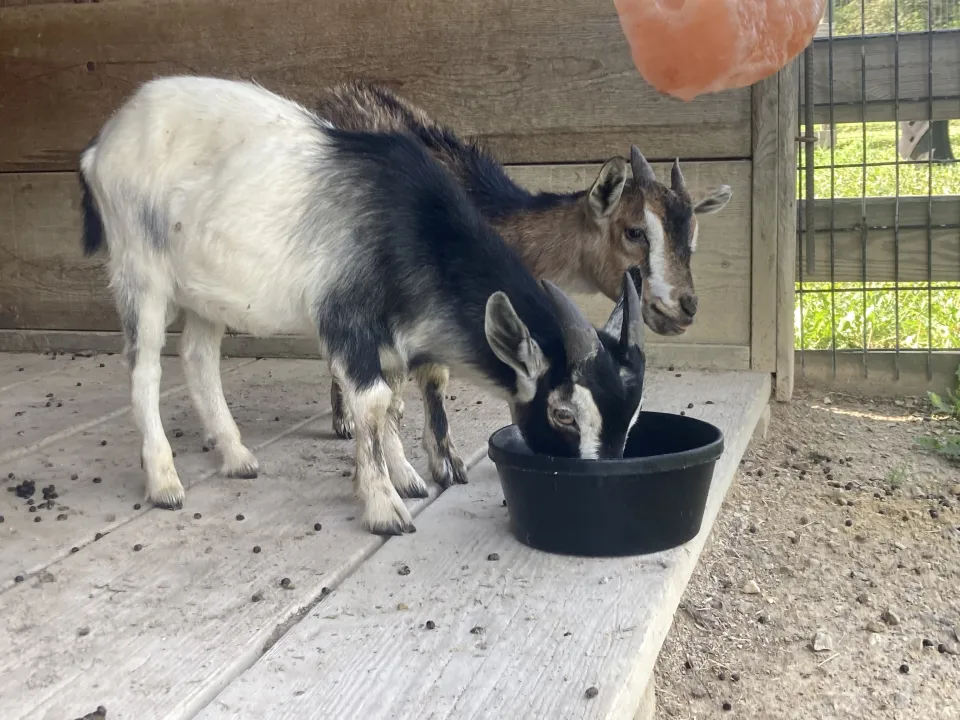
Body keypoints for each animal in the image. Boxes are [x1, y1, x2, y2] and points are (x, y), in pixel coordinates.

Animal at [79, 76, 647, 536]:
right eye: (563, 413)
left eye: (634, 414)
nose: (600, 482)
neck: (412, 223)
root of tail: (101, 146)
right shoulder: (347, 316)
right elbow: (372, 401)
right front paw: (383, 507)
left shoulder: (391, 335)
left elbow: (391, 403)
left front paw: (406, 478)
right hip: (140, 267)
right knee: (145, 366)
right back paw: (164, 481)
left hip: (206, 289)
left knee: (198, 357)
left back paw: (237, 455)